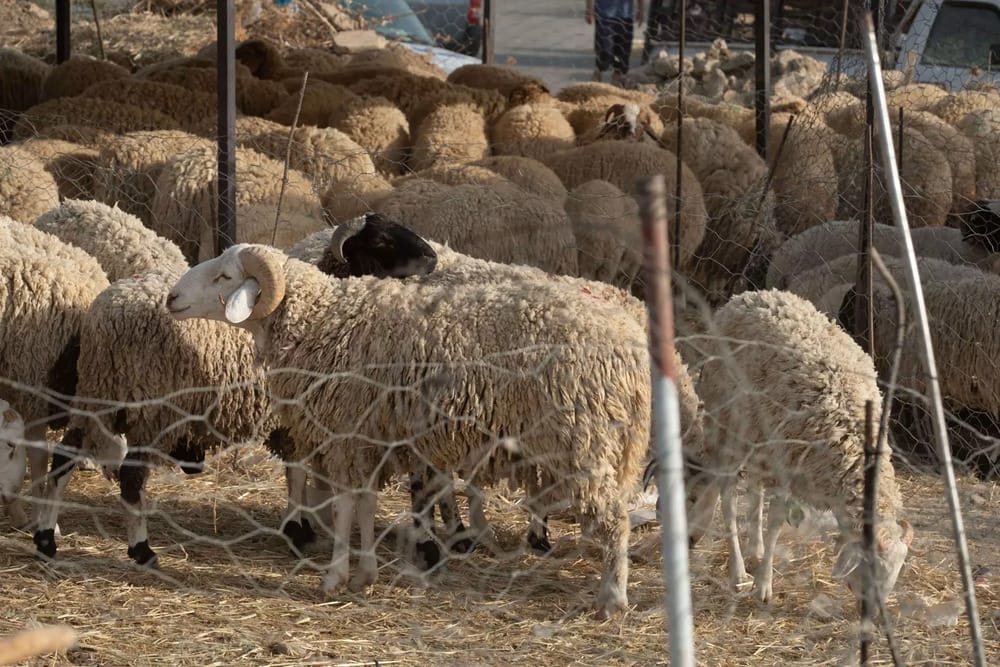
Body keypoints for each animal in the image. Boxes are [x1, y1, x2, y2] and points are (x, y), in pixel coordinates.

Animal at [164, 242, 651, 619]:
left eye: (224, 276)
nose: (171, 298)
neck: (323, 321)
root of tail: (628, 340)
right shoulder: (371, 436)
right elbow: (364, 505)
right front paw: (365, 574)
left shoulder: (347, 432)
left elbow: (344, 507)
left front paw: (335, 576)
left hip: (582, 438)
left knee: (614, 517)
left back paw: (613, 598)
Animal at [691, 288, 912, 604]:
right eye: (870, 569)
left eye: (895, 572)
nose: (874, 611)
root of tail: (747, 296)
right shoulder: (787, 466)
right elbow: (775, 524)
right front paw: (764, 586)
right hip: (727, 426)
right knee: (728, 497)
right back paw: (738, 572)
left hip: (761, 436)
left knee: (755, 484)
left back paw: (755, 549)